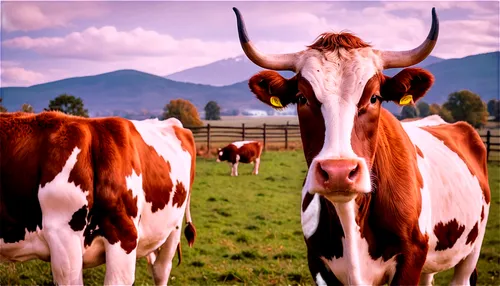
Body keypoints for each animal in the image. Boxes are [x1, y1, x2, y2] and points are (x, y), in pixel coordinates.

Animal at [232, 6, 490, 286]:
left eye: (375, 97)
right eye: (301, 98)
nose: (338, 172)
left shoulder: (412, 258)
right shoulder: (318, 264)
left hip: (471, 251)